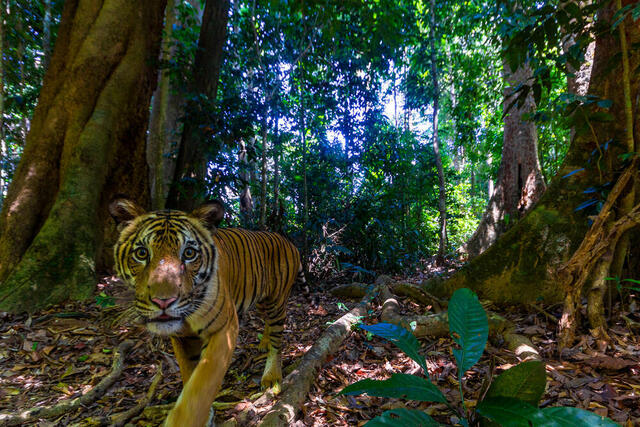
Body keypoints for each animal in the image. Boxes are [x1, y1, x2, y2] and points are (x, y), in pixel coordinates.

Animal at [109, 198, 302, 427]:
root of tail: (287, 240)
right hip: (261, 301)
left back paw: (271, 377)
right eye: (141, 253)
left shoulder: (224, 329)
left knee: (277, 340)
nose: (163, 301)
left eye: (189, 253)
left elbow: (203, 382)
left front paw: (185, 420)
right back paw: (263, 343)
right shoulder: (180, 338)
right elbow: (189, 374)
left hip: (275, 302)